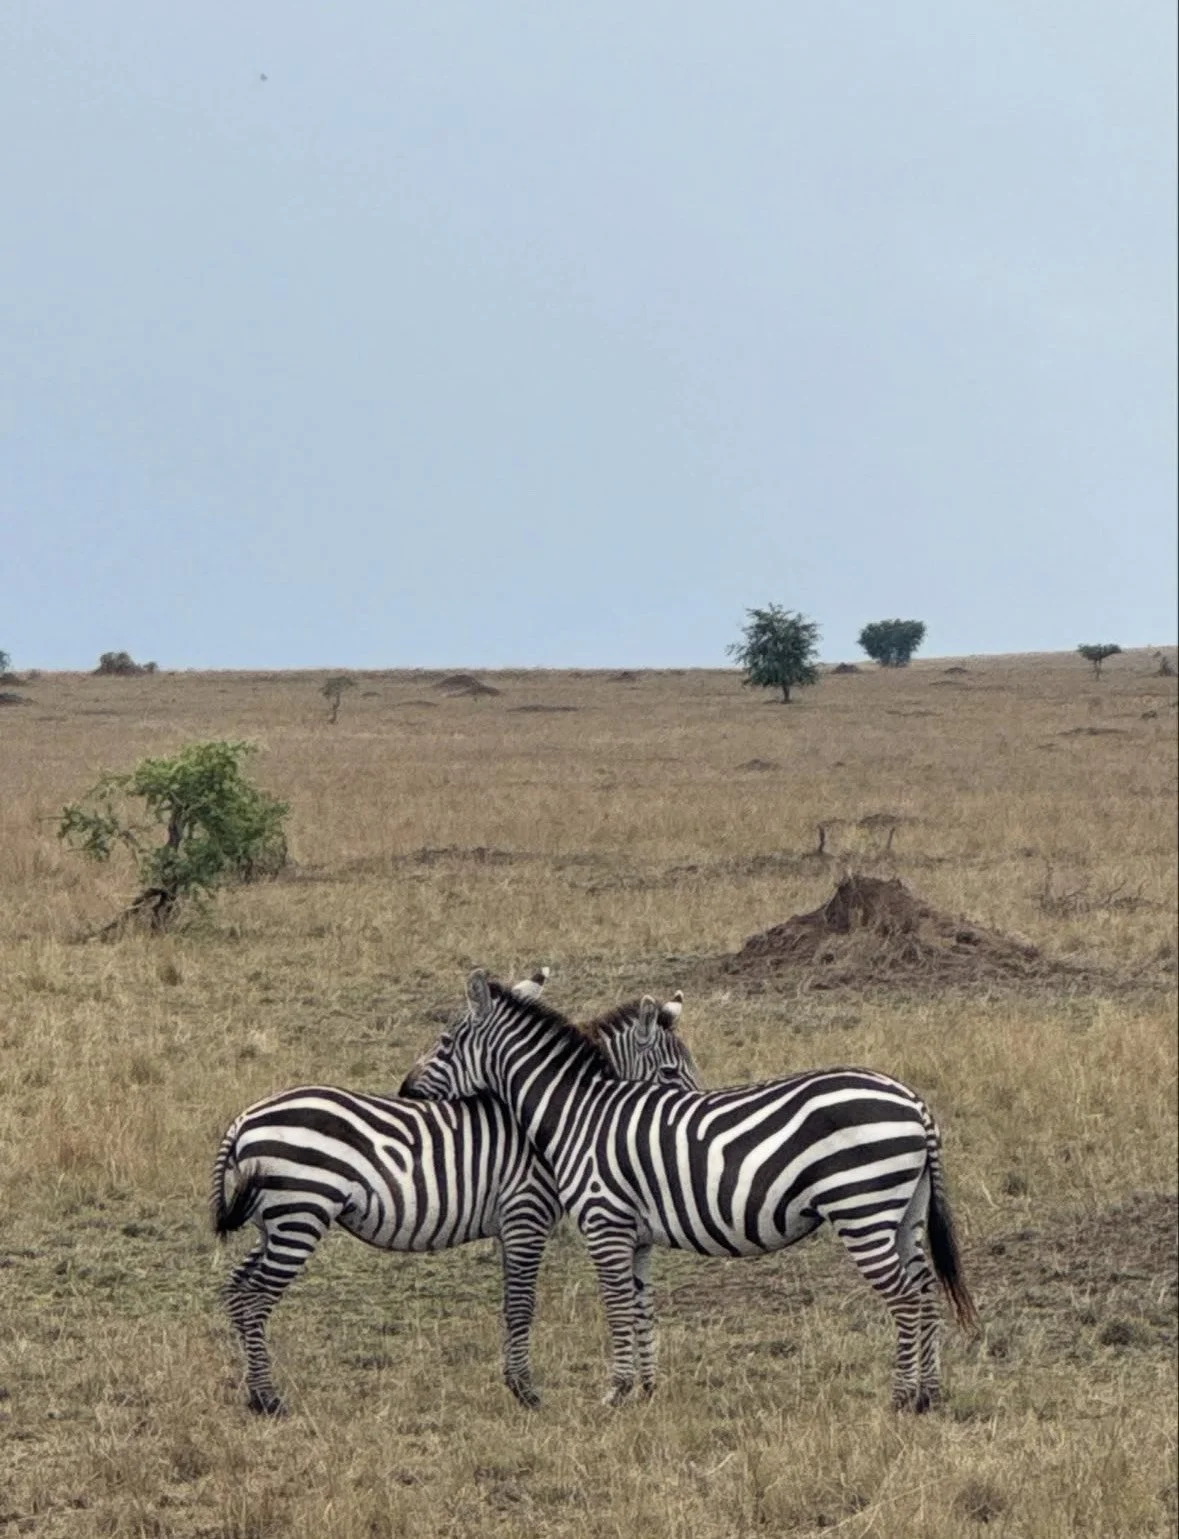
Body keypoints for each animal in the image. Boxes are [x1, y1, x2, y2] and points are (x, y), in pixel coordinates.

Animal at [211, 974, 699, 1414]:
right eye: (671, 1072)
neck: (559, 1117)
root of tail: (244, 1120)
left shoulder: (512, 1225)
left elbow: (512, 1303)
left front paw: (518, 1384)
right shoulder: (525, 1214)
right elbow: (522, 1305)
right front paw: (526, 1392)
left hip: (275, 1222)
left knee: (238, 1290)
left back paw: (255, 1394)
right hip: (300, 1214)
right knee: (256, 1299)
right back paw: (270, 1400)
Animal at [400, 971, 979, 1413]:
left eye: (446, 1043)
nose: (405, 1090)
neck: (579, 1113)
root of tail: (914, 1103)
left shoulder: (604, 1223)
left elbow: (616, 1307)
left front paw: (615, 1394)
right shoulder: (636, 1236)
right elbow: (641, 1307)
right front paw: (645, 1392)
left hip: (862, 1208)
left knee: (905, 1298)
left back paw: (900, 1399)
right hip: (904, 1214)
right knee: (926, 1292)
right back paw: (928, 1395)